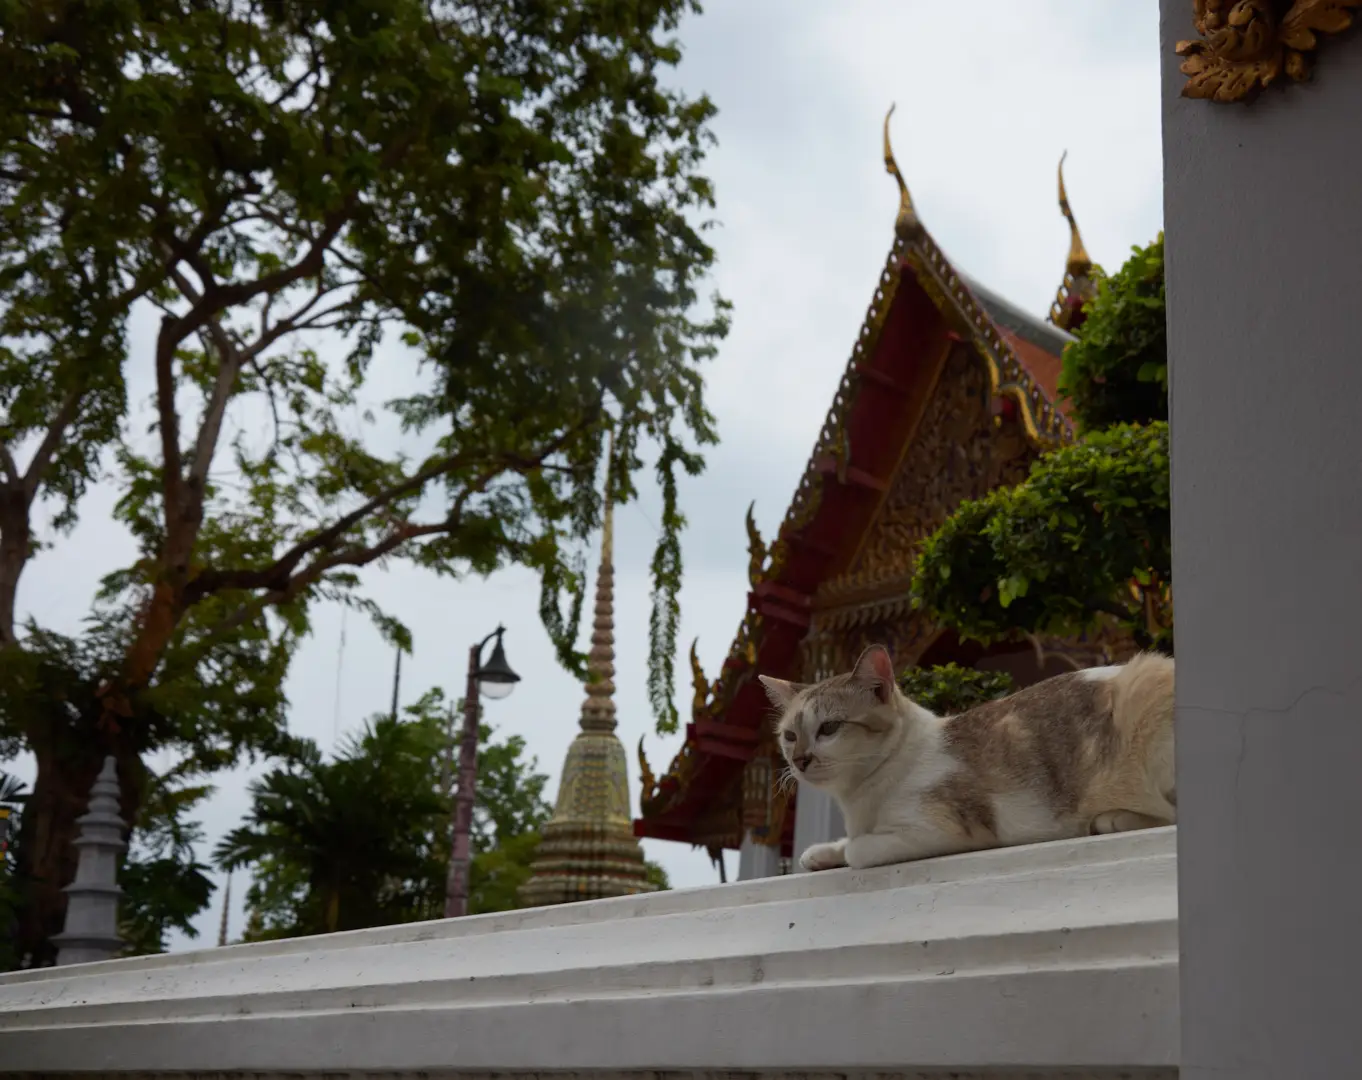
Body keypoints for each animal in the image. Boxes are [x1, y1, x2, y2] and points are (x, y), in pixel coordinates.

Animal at [762, 645, 1176, 871]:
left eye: (829, 728)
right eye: (789, 736)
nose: (799, 760)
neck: (860, 799)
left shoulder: (944, 829)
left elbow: (859, 849)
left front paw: (846, 849)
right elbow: (845, 841)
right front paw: (823, 851)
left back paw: (1112, 819)